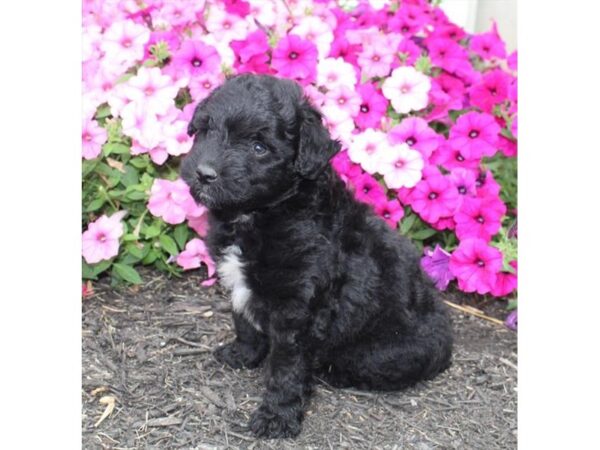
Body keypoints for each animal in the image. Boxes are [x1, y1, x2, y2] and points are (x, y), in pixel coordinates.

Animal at [180, 74, 452, 440]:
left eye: (259, 147)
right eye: (206, 130)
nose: (204, 173)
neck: (263, 213)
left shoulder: (298, 307)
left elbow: (287, 366)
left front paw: (277, 416)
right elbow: (244, 323)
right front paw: (243, 353)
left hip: (384, 351)